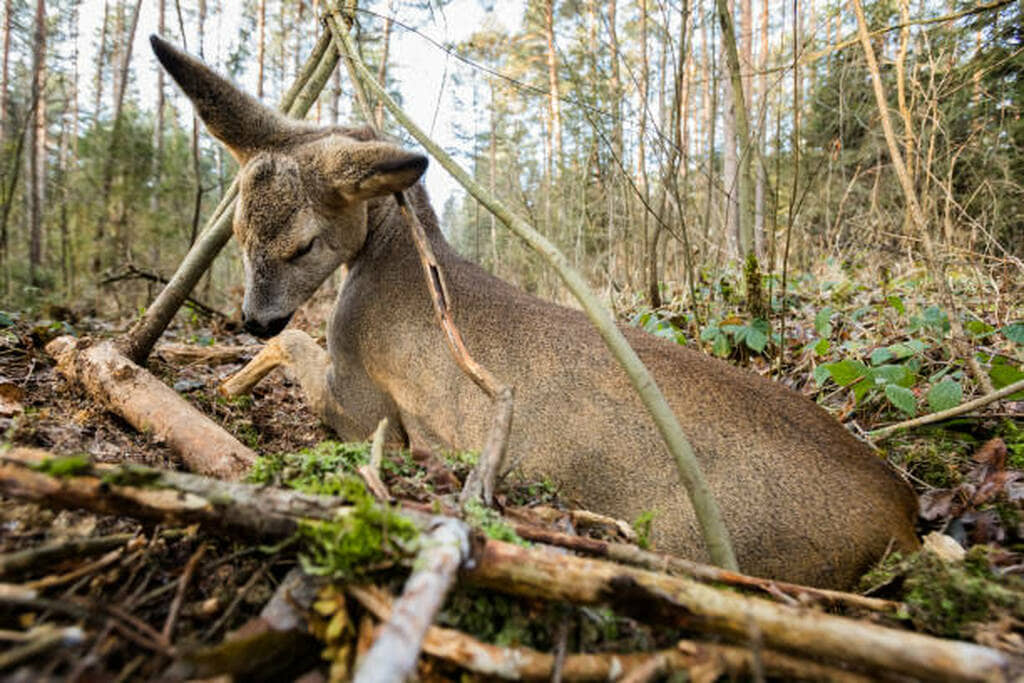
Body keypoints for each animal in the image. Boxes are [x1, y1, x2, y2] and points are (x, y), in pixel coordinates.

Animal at [151, 35, 919, 590]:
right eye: (236, 232)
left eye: (304, 243)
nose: (255, 317)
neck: (395, 258)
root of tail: (906, 515)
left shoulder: (367, 406)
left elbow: (296, 356)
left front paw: (227, 385)